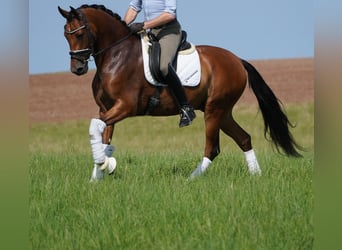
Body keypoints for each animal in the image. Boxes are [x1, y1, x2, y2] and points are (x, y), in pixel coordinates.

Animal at [58, 3, 302, 180]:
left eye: (79, 34)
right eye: (65, 35)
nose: (77, 69)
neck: (117, 56)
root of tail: (237, 61)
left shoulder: (125, 107)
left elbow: (95, 127)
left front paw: (104, 164)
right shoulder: (106, 108)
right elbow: (102, 136)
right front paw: (100, 172)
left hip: (214, 110)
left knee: (212, 148)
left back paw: (191, 179)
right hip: (222, 111)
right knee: (244, 138)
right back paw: (256, 176)